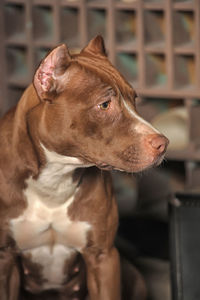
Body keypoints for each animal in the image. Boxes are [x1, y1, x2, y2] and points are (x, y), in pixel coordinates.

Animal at [0, 36, 169, 298]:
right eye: (105, 105)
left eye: (134, 98)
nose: (163, 144)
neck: (55, 178)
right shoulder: (5, 259)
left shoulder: (103, 257)